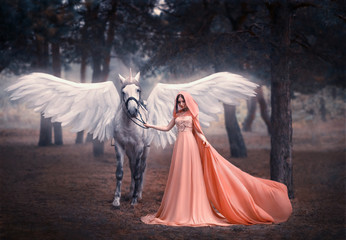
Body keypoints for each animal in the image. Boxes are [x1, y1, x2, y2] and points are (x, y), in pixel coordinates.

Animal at [6, 69, 258, 206]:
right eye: (123, 91)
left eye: (138, 90)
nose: (135, 111)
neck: (129, 126)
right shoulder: (120, 146)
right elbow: (120, 172)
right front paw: (118, 199)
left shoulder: (138, 146)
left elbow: (138, 171)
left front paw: (135, 199)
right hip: (128, 150)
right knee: (131, 168)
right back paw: (129, 192)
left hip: (143, 149)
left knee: (141, 168)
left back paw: (138, 193)